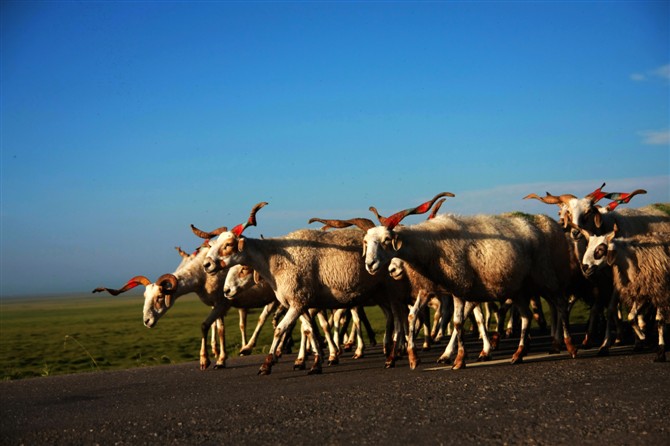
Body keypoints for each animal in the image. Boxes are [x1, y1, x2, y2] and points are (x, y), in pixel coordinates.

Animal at [190, 201, 410, 372]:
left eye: (228, 245)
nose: (207, 264)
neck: (275, 259)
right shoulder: (300, 301)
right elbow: (310, 330)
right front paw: (316, 362)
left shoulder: (298, 301)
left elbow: (281, 329)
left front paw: (268, 364)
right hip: (379, 293)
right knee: (392, 316)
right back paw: (389, 349)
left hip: (391, 290)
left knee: (400, 317)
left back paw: (394, 352)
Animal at [362, 192, 576, 370]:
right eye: (366, 242)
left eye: (387, 240)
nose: (370, 265)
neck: (431, 247)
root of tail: (544, 223)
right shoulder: (431, 289)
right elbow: (412, 316)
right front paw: (414, 358)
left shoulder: (460, 286)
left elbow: (458, 322)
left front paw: (458, 359)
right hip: (519, 287)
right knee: (527, 315)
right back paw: (519, 353)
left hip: (545, 275)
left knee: (560, 304)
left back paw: (568, 346)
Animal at [576, 223, 670, 362]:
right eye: (587, 247)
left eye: (600, 249)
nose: (584, 268)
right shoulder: (641, 293)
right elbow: (631, 317)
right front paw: (642, 336)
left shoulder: (659, 292)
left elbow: (659, 321)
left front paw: (661, 352)